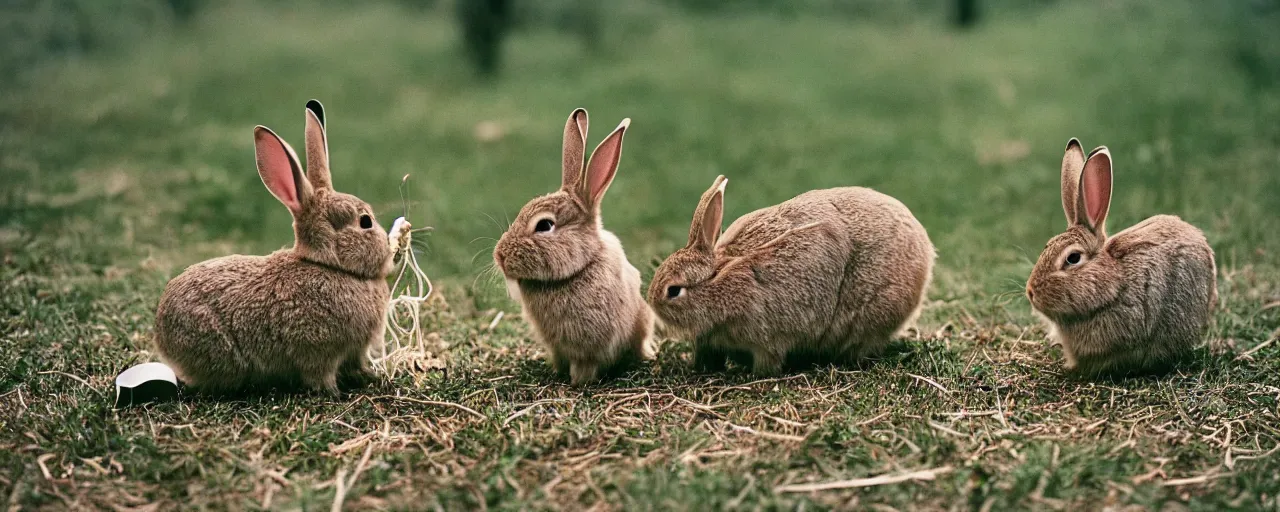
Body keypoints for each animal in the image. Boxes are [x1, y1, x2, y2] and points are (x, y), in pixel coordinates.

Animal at [151, 99, 389, 396]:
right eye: (365, 222)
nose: (389, 249)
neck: (330, 266)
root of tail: (162, 335)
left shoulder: (355, 351)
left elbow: (357, 364)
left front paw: (371, 377)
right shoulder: (317, 350)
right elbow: (319, 375)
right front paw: (334, 393)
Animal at [491, 108, 655, 389]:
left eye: (544, 225)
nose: (499, 257)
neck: (576, 270)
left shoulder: (590, 348)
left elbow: (586, 366)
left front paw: (578, 382)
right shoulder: (556, 346)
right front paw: (557, 374)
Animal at [650, 174, 931, 373]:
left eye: (674, 290)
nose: (652, 302)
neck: (721, 281)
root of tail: (925, 250)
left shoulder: (768, 339)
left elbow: (768, 361)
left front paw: (754, 375)